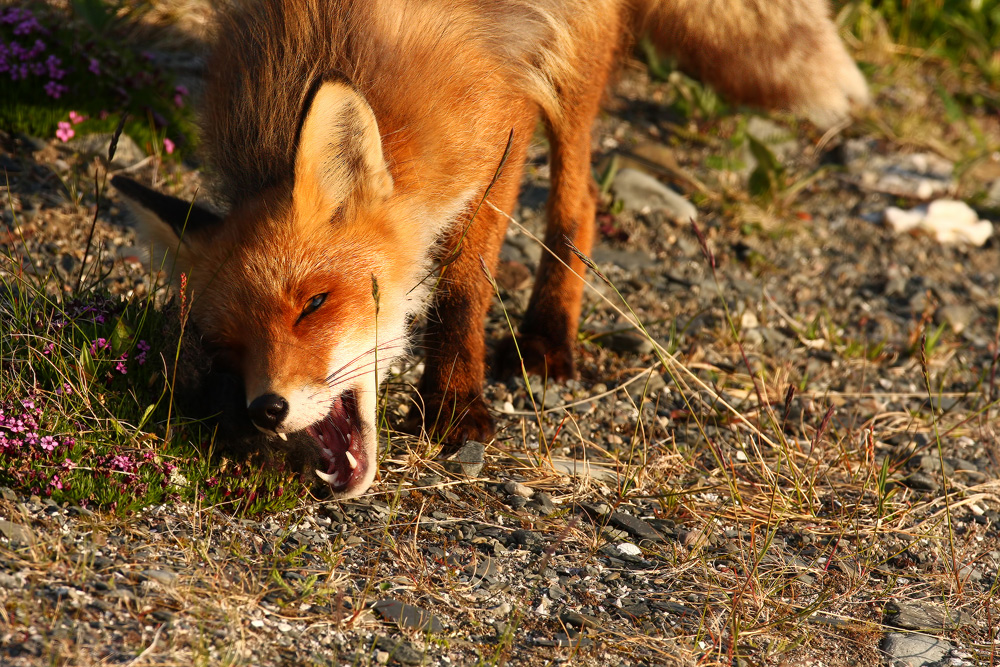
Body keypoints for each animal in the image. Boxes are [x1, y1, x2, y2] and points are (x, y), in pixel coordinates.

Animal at [113, 0, 868, 498]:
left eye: (315, 304)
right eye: (226, 346)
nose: (264, 408)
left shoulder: (501, 121)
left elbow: (463, 283)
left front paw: (453, 404)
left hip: (574, 59)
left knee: (580, 204)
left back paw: (547, 336)